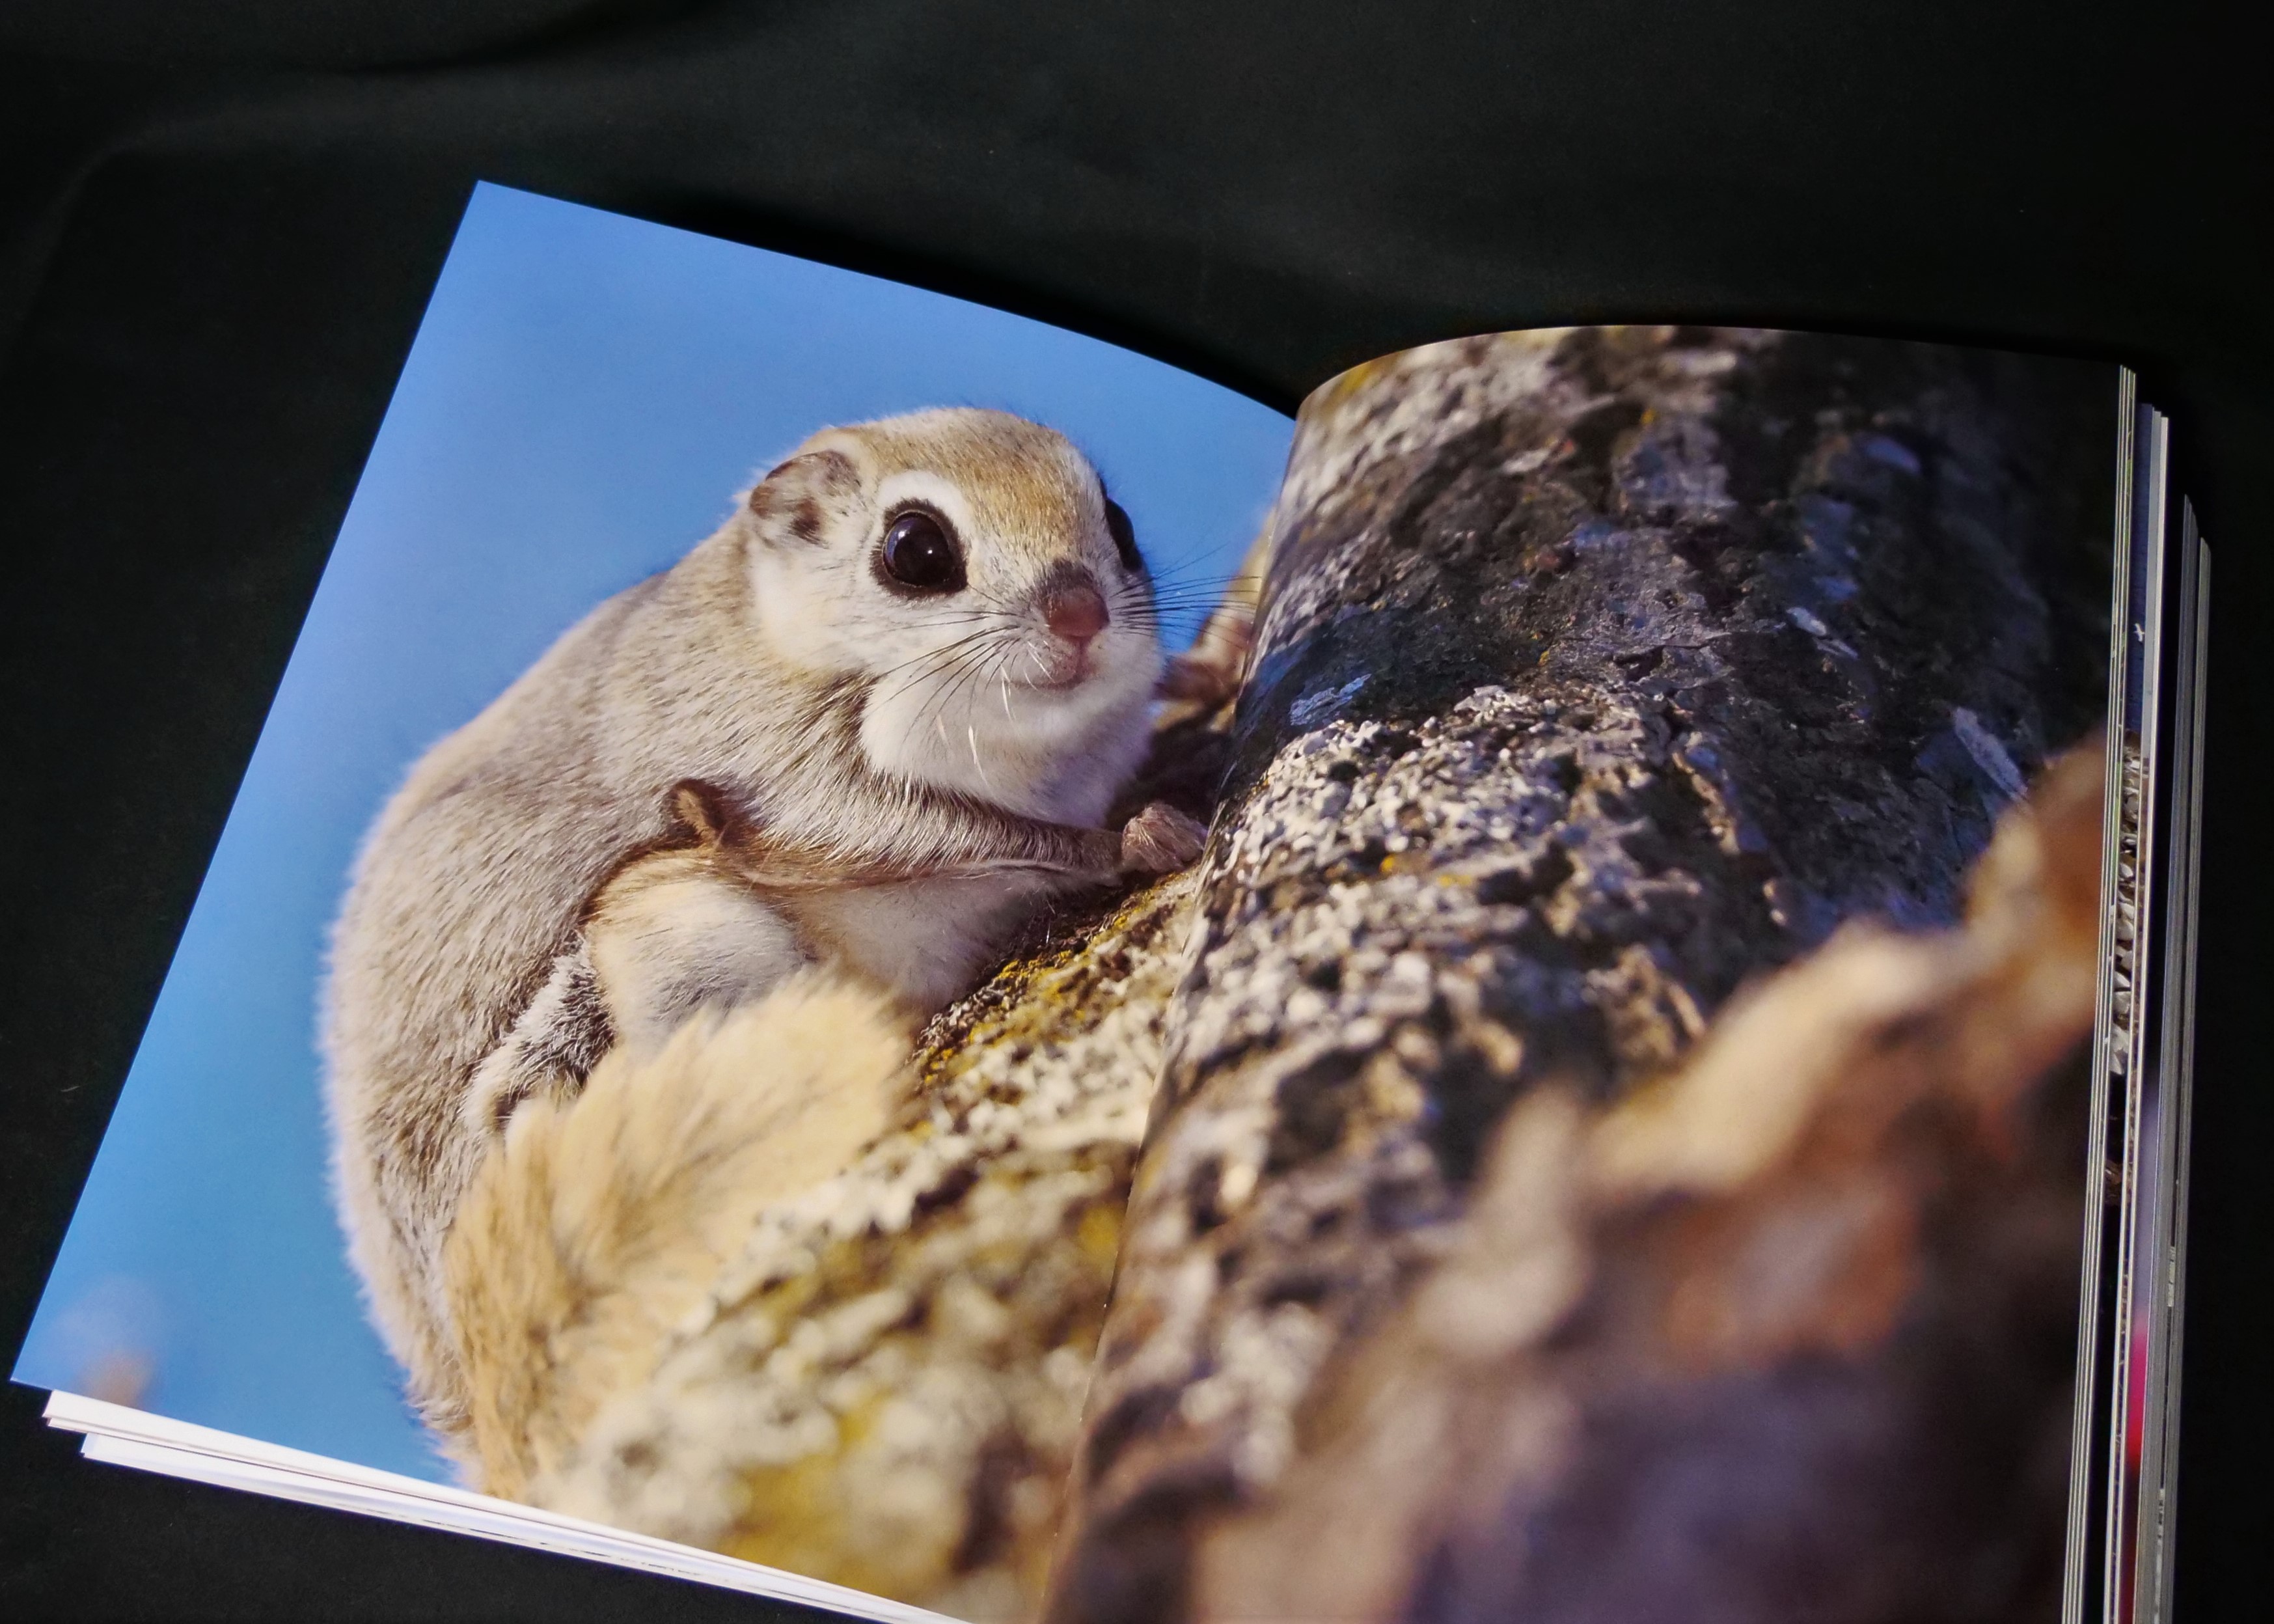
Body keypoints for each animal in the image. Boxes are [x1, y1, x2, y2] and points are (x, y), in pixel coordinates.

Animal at [320, 407, 1237, 1428]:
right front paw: (1130, 839)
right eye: (915, 551)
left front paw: (1206, 662)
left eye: (1118, 522)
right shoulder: (769, 773)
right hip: (644, 967)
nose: (1081, 617)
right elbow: (942, 832)